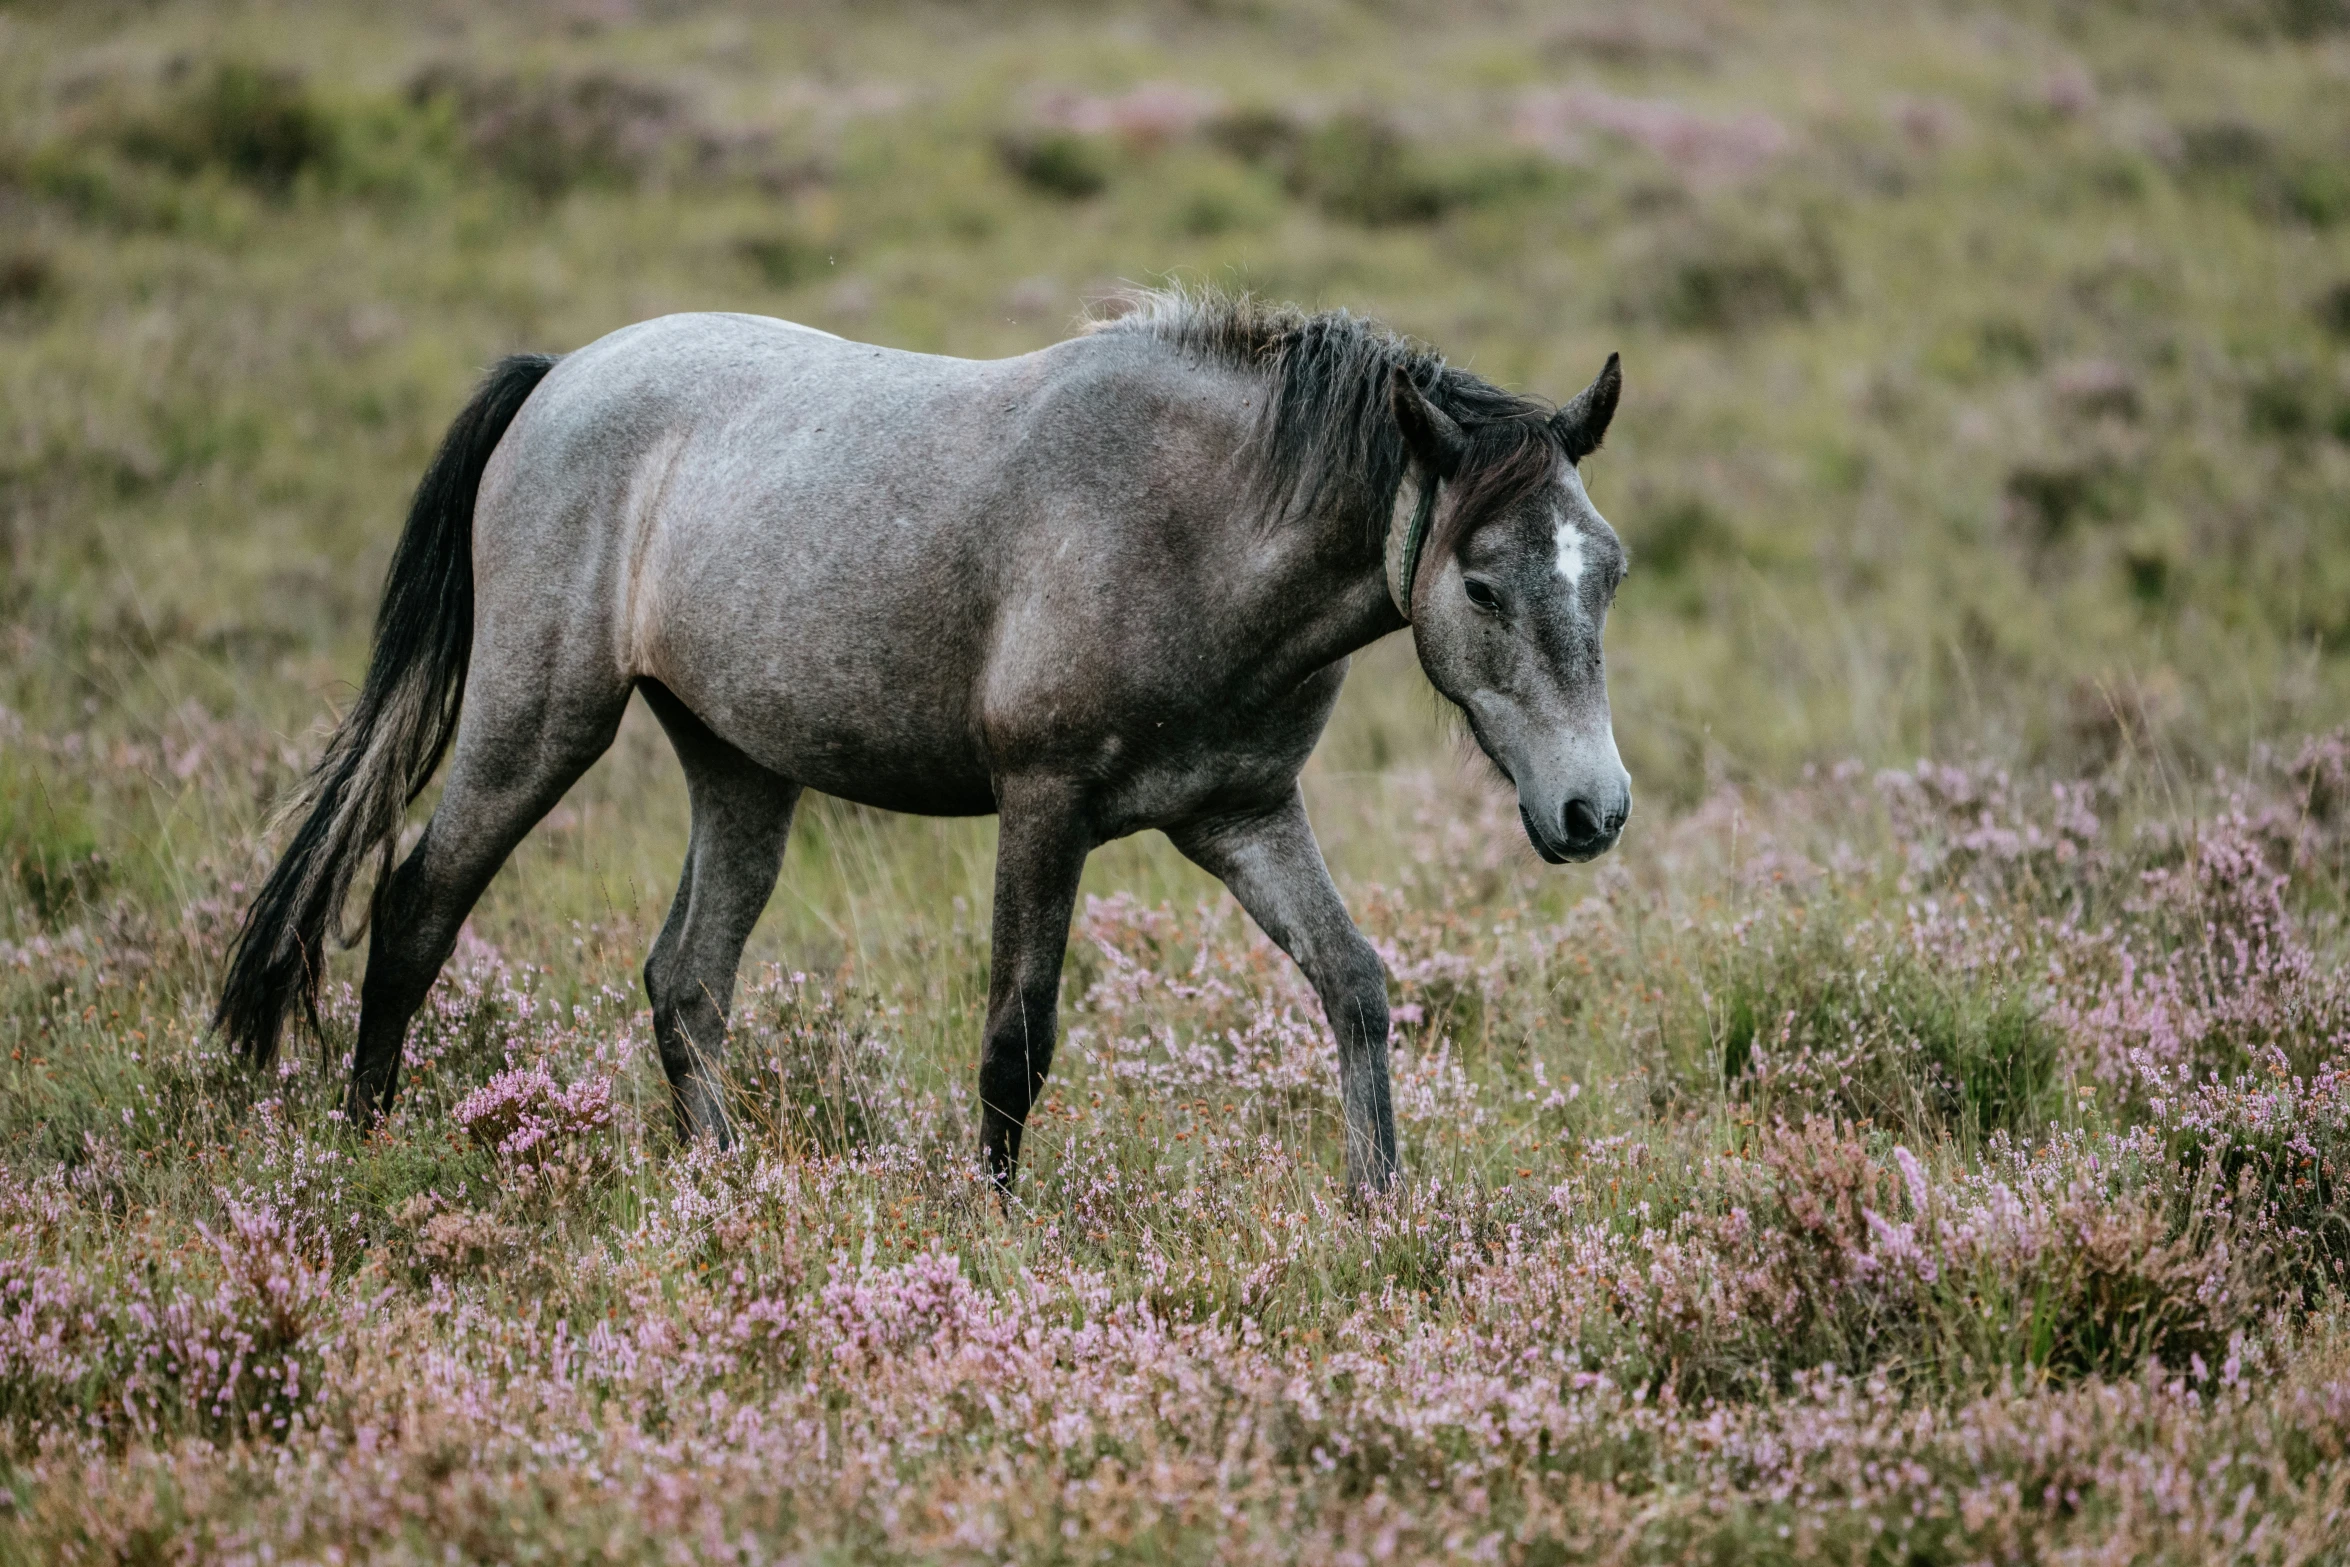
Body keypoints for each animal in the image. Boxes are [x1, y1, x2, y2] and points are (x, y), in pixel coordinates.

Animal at [220, 287, 1635, 1188]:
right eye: (1482, 586)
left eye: (1608, 567)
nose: (1592, 812)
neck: (1198, 525)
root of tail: (560, 375)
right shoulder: (1044, 807)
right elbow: (1017, 1041)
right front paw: (994, 1232)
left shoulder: (1239, 815)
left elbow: (1355, 986)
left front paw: (1379, 1213)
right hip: (537, 722)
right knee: (416, 911)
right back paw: (365, 1152)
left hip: (740, 770)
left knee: (686, 982)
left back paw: (727, 1189)